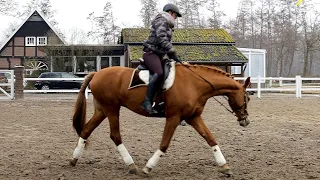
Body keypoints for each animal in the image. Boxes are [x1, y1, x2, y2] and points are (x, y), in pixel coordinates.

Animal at [69, 63, 250, 177]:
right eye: (247, 98)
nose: (245, 121)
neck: (194, 84)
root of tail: (97, 74)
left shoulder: (193, 117)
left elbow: (210, 138)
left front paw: (224, 166)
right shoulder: (174, 117)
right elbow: (164, 144)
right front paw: (148, 168)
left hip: (102, 110)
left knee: (86, 130)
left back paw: (74, 160)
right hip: (112, 109)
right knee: (115, 136)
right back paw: (132, 165)